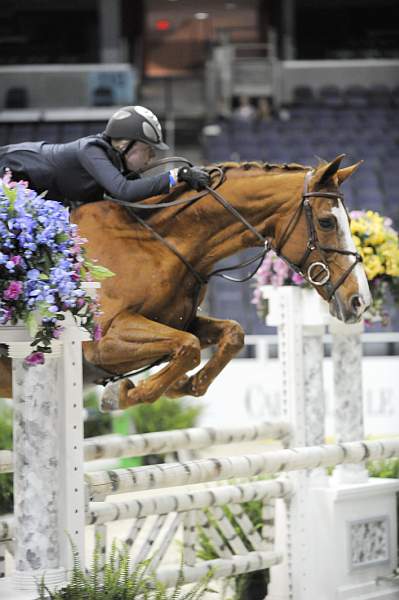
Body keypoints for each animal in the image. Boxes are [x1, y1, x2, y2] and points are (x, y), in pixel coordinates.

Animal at [0, 155, 372, 408]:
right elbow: (189, 347)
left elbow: (230, 334)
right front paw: (123, 394)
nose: (360, 302)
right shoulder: (103, 340)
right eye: (326, 222)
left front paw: (183, 386)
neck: (156, 243)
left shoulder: (182, 319)